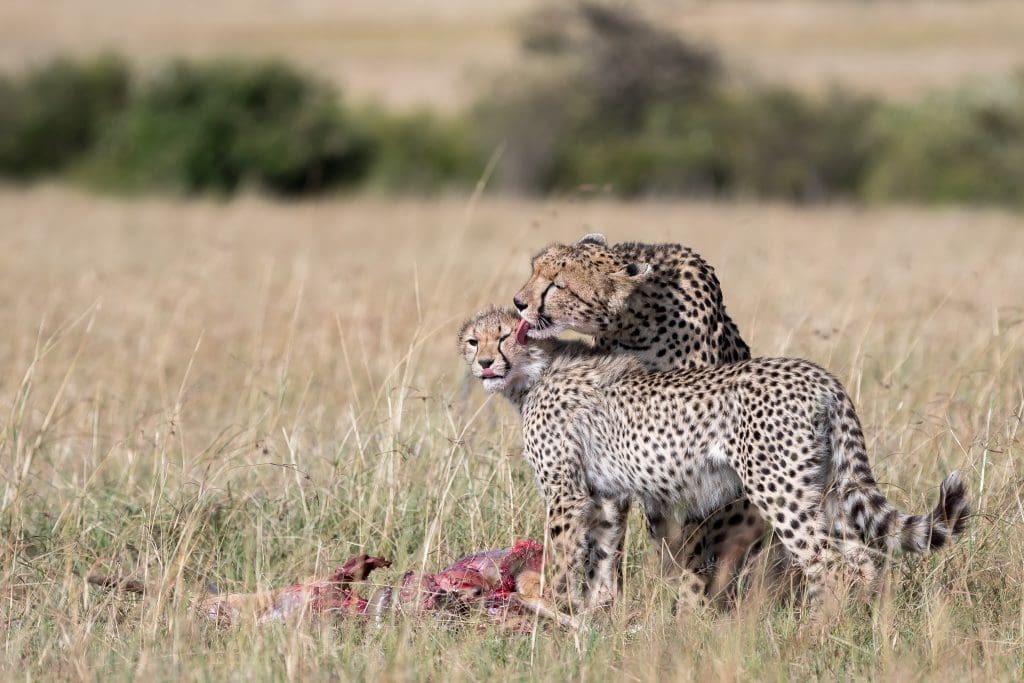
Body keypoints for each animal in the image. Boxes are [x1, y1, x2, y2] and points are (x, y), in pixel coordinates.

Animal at [456, 307, 966, 610]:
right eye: (472, 340)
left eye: (507, 335)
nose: (484, 363)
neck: (536, 371)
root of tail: (819, 374)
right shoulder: (605, 494)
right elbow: (602, 554)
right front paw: (597, 617)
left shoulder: (566, 493)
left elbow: (564, 554)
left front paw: (551, 611)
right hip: (822, 489)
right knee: (862, 559)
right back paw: (858, 624)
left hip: (777, 487)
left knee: (826, 561)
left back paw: (816, 631)